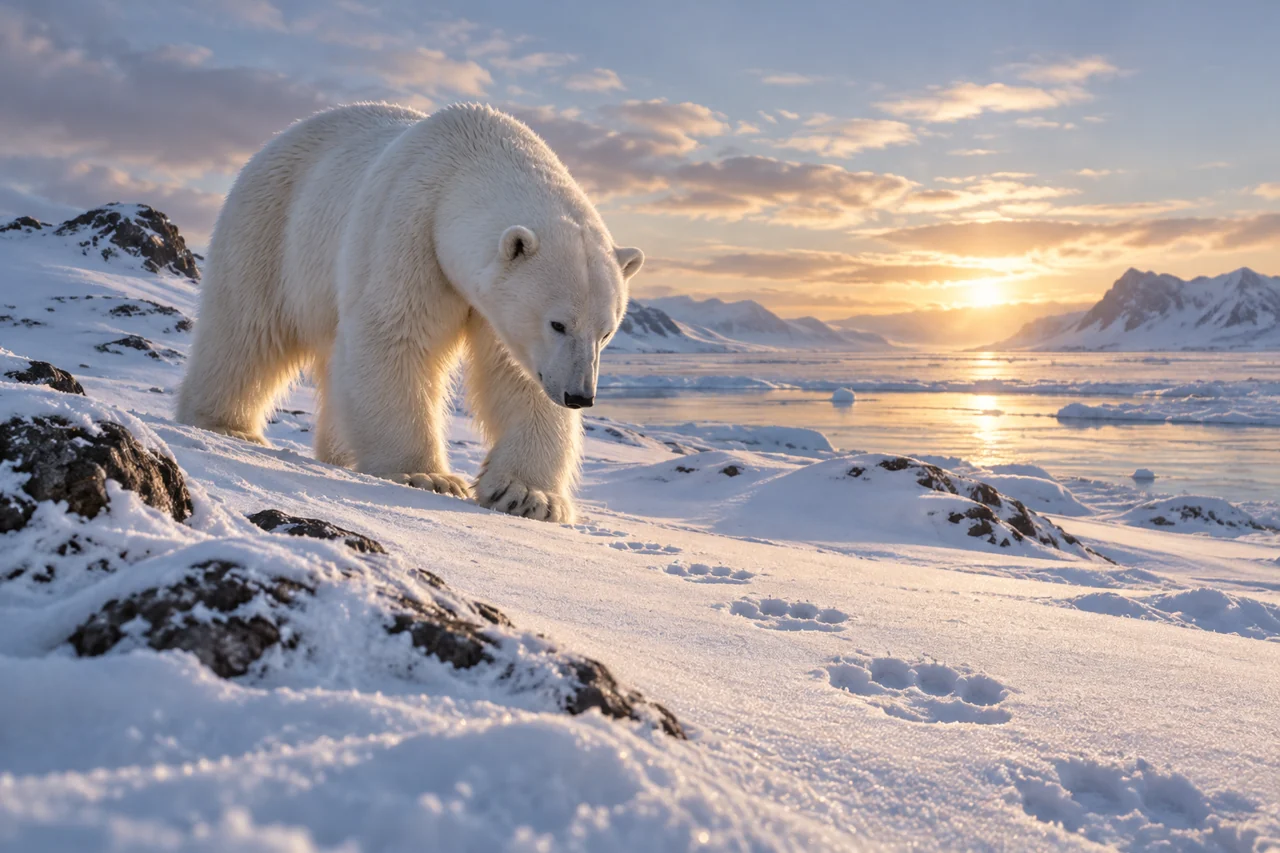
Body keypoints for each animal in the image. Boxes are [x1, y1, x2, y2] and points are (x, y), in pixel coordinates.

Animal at [176, 103, 643, 523]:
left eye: (605, 332)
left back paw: (340, 452)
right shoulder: (408, 228)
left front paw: (527, 495)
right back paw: (226, 425)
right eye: (558, 323)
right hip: (273, 227)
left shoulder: (497, 312)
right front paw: (426, 476)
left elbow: (516, 374)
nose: (580, 396)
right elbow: (393, 336)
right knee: (247, 327)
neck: (468, 162)